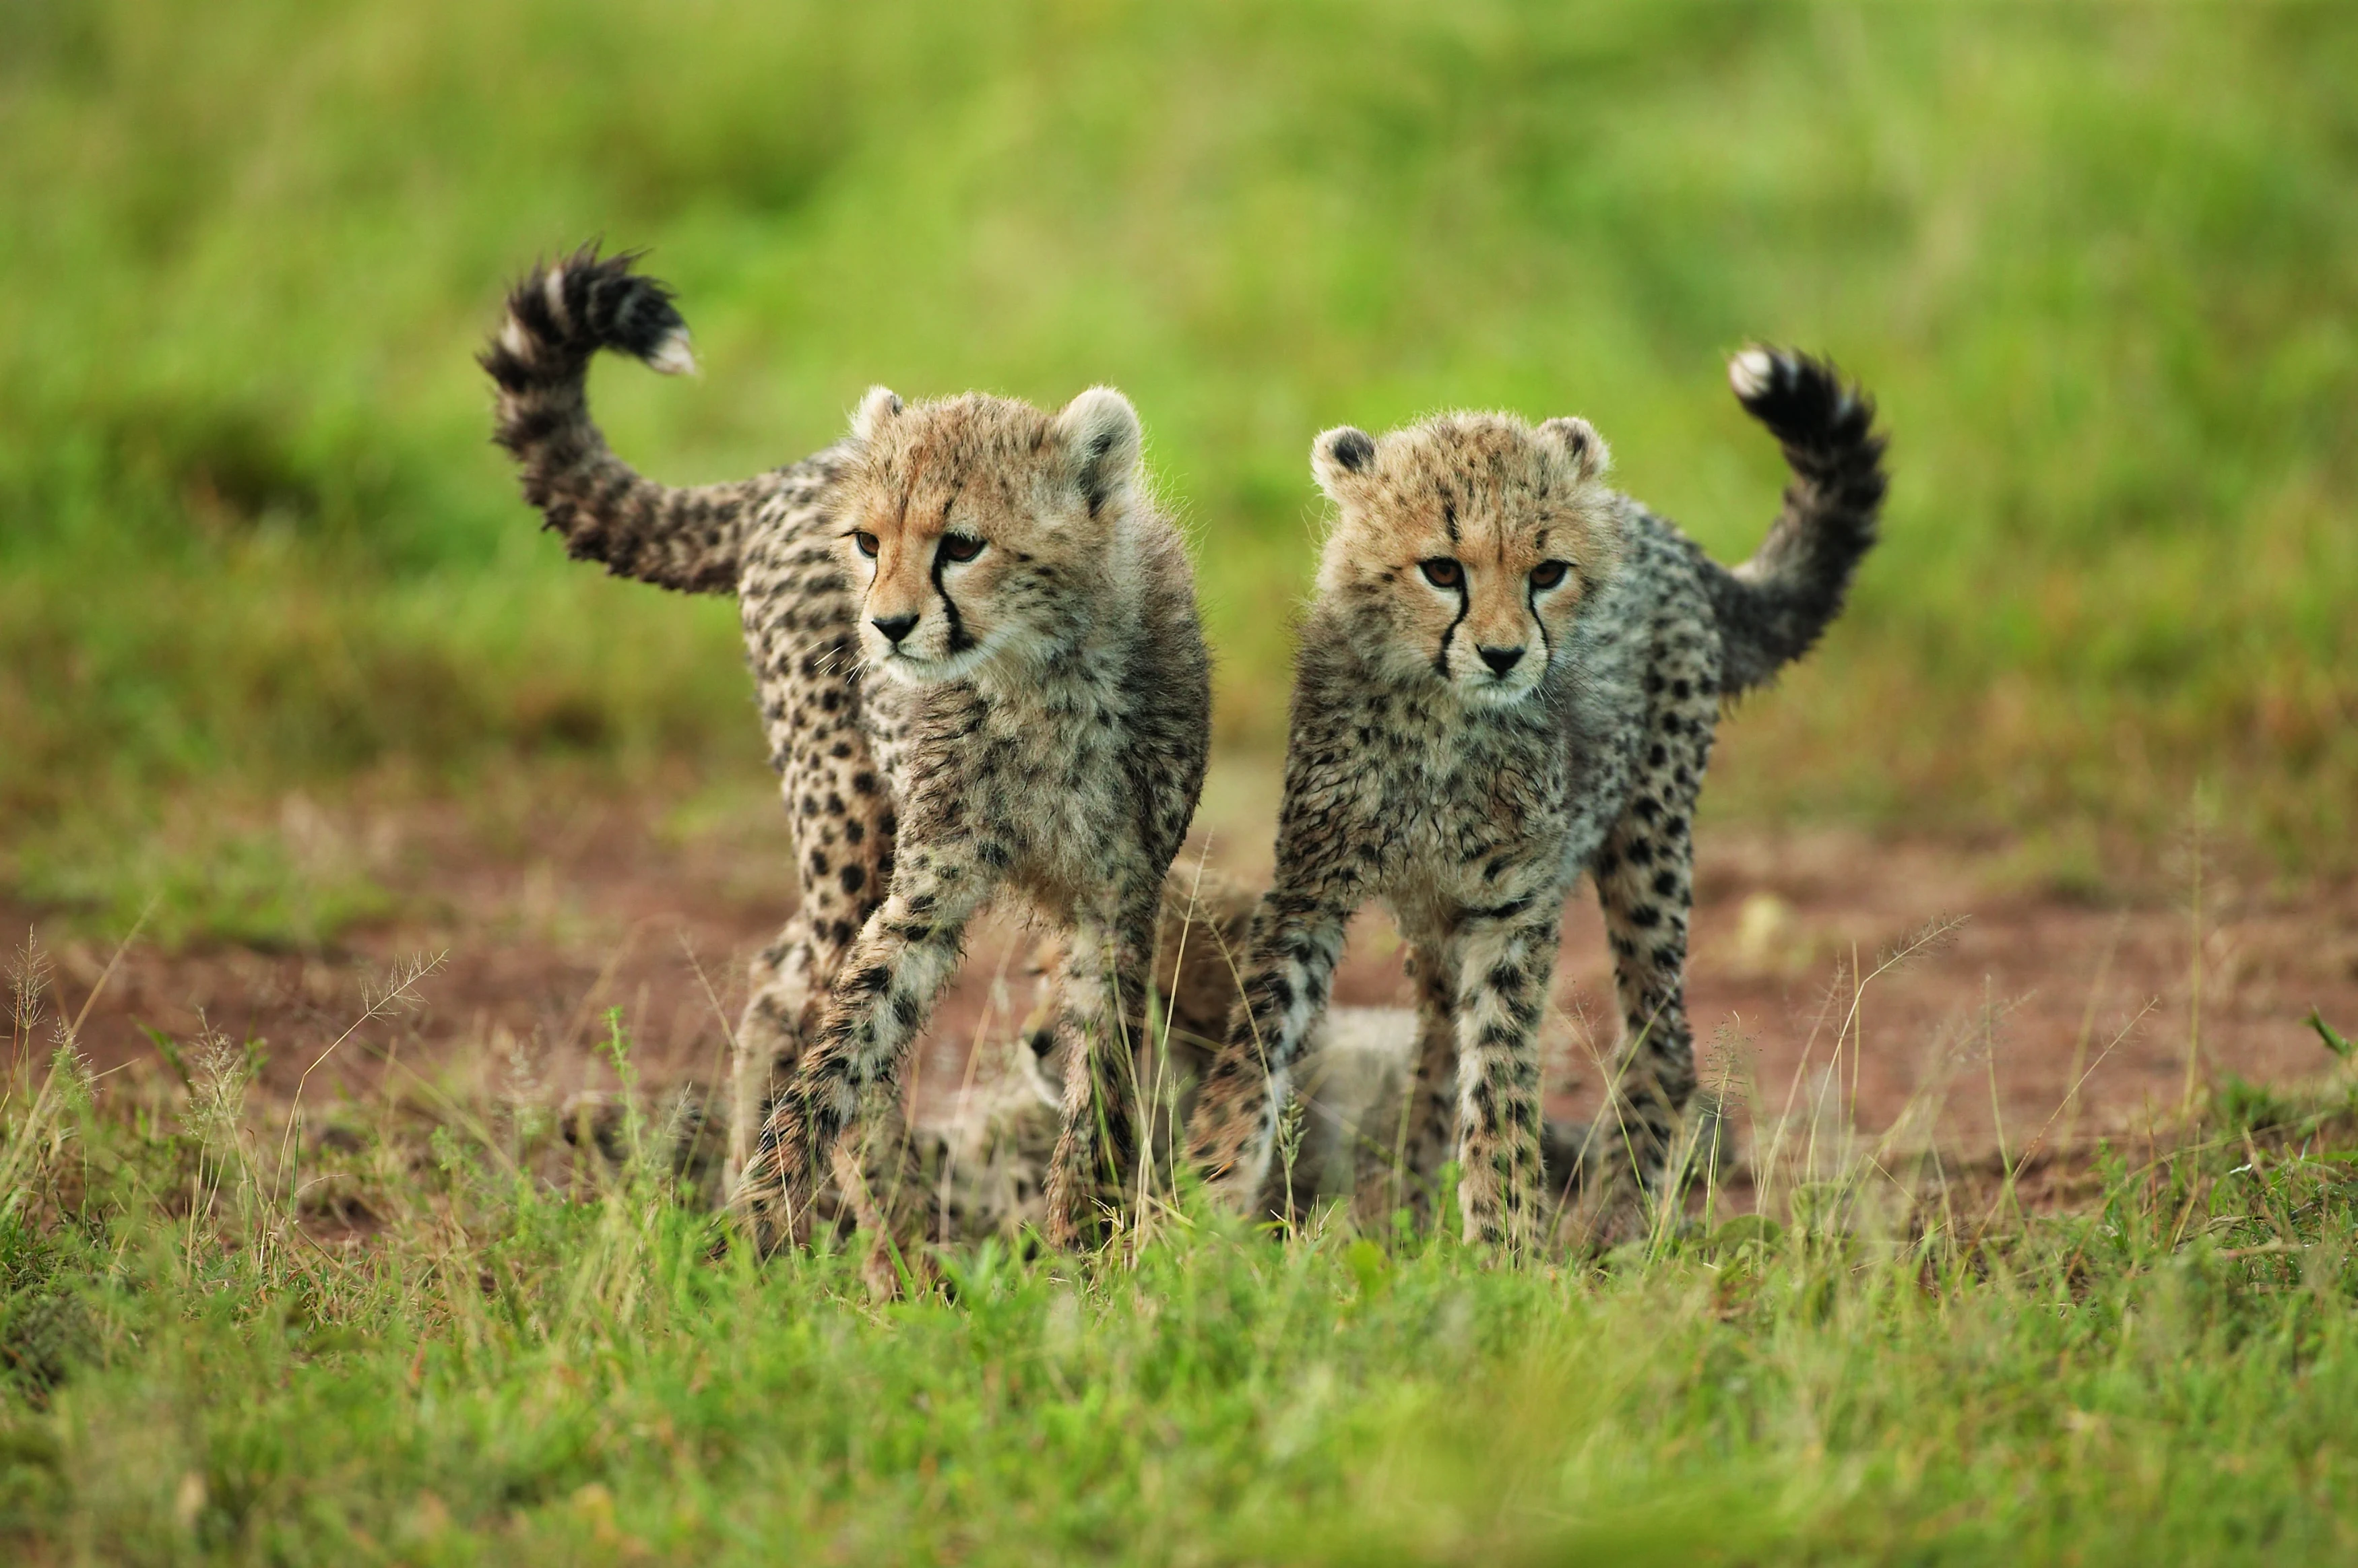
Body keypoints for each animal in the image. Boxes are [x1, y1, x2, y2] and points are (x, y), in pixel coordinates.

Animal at [481, 248, 1211, 1261]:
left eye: (962, 545)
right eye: (868, 542)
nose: (887, 627)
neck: (1039, 681)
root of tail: (795, 470)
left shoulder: (1119, 902)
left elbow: (1099, 1081)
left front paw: (1084, 1246)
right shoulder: (928, 890)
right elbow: (851, 1046)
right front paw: (784, 1222)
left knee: (779, 971)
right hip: (847, 823)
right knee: (806, 982)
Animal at [1186, 347, 1886, 1253]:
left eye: (1546, 573)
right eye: (1441, 569)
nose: (1502, 655)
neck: (1440, 720)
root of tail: (1651, 524)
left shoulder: (1512, 909)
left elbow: (1501, 1082)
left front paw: (1501, 1244)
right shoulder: (1310, 889)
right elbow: (1253, 1052)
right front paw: (1193, 1210)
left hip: (1648, 839)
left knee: (1661, 1039)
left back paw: (1615, 1224)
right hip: (1436, 919)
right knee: (1436, 1038)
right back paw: (1408, 1209)